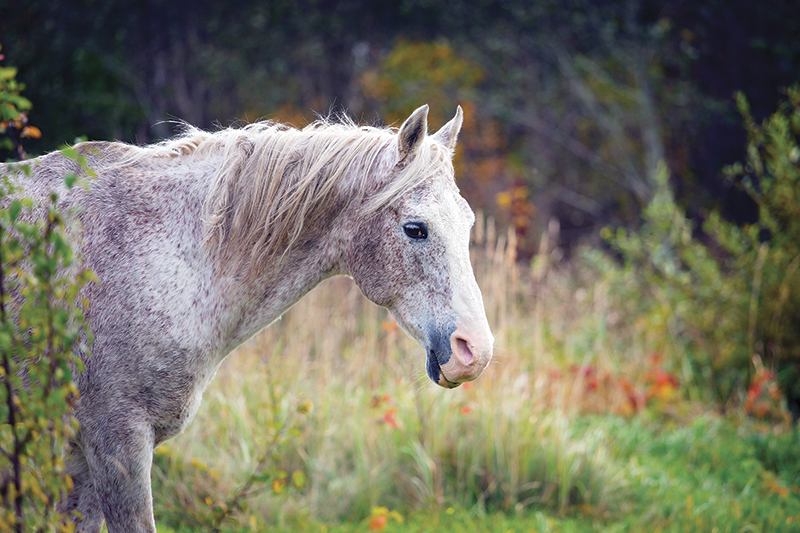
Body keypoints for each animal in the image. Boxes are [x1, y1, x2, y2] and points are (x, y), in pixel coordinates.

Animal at [4, 105, 494, 532]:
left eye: (469, 224)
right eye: (415, 229)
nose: (476, 352)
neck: (168, 257)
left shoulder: (80, 454)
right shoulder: (116, 442)